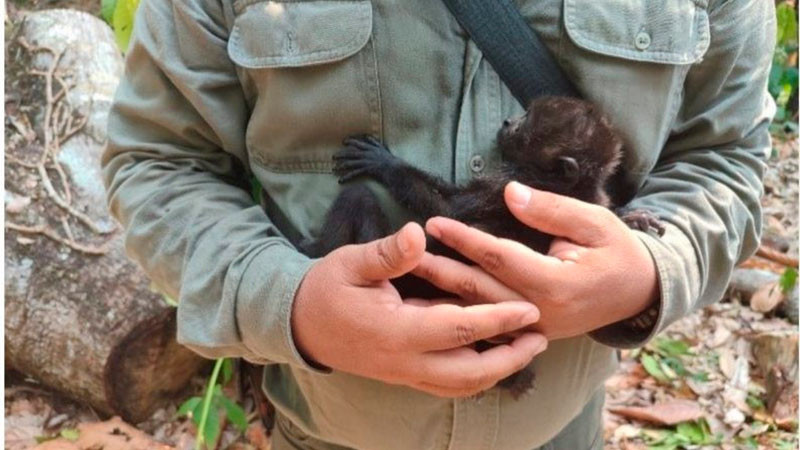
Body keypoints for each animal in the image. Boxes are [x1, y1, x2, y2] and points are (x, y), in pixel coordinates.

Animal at [295, 96, 665, 397]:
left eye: (525, 123)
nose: (507, 122)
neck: (569, 186)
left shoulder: (508, 185)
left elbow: (447, 212)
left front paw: (385, 163)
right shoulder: (591, 198)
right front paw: (633, 218)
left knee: (356, 198)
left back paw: (316, 248)